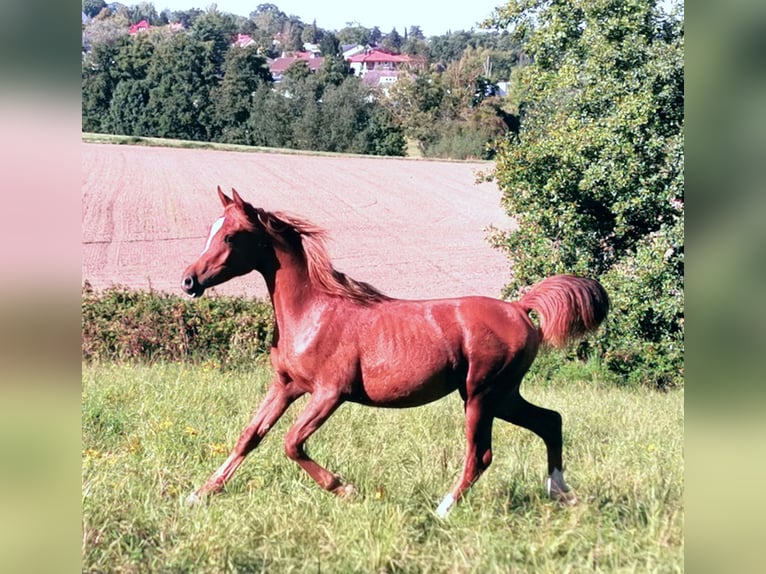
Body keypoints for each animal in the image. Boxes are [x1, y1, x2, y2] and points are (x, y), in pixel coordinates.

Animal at [182, 188, 612, 516]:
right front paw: (199, 493)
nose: (188, 281)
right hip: (502, 395)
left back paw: (443, 510)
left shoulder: (329, 393)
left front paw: (346, 488)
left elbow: (291, 442)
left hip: (481, 395)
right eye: (212, 230)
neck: (312, 312)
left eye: (231, 236)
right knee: (550, 421)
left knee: (481, 454)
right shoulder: (287, 385)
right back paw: (561, 493)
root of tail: (520, 308)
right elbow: (249, 436)